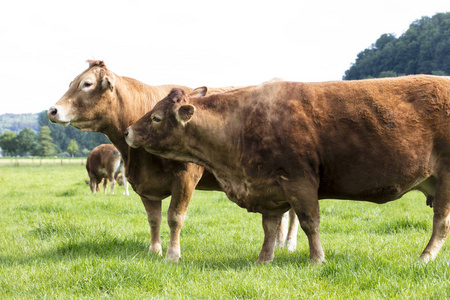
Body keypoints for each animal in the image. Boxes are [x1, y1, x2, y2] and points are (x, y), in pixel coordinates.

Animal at [124, 76, 450, 264]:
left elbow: (309, 222)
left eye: (156, 117)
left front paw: (317, 259)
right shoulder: (269, 187)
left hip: (445, 179)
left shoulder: (299, 180)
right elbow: (270, 227)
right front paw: (263, 259)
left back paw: (425, 257)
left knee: (441, 224)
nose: (128, 131)